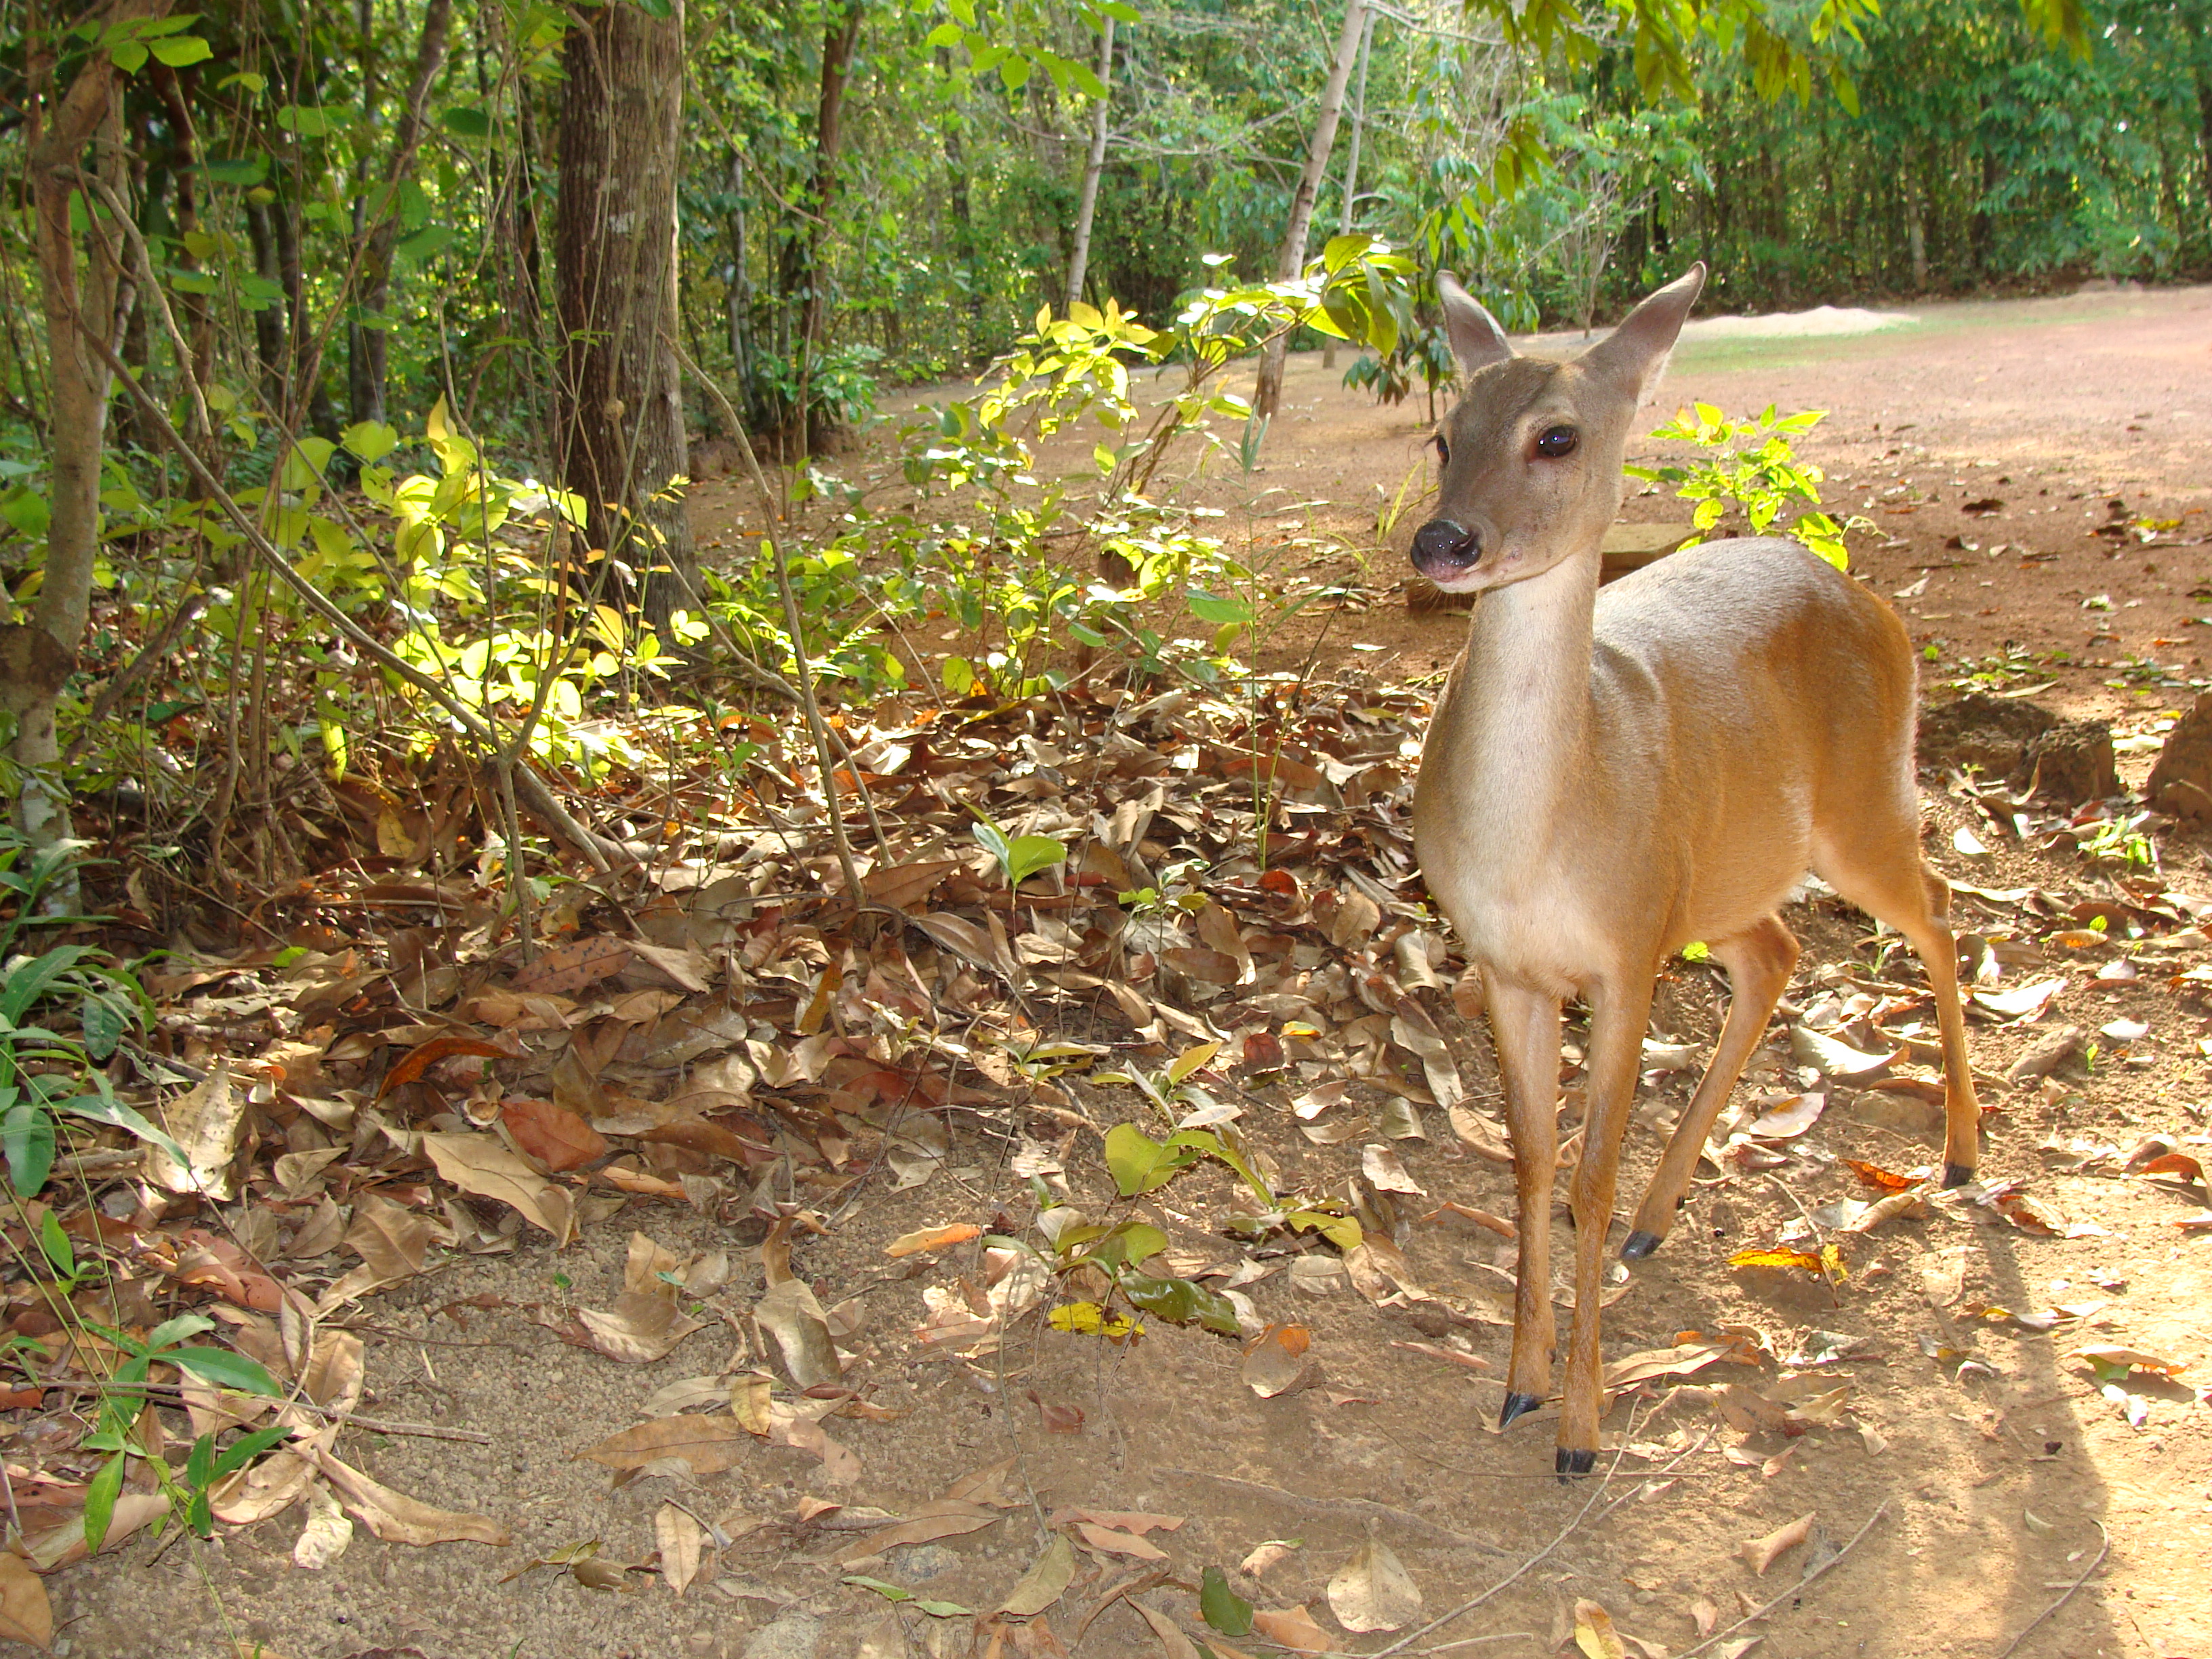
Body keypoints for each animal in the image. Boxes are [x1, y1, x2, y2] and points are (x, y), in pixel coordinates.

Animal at [1407, 263, 1982, 1476]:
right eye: (1444, 434)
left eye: (1557, 435)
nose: (1442, 543)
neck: (1538, 840)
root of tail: (1880, 607)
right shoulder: (1506, 964)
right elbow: (1533, 1163)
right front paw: (1520, 1385)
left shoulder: (1628, 953)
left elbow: (1587, 1172)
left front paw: (1581, 1431)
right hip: (1723, 873)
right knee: (1780, 952)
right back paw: (1659, 1219)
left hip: (1859, 807)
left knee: (1942, 910)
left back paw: (1962, 1155)